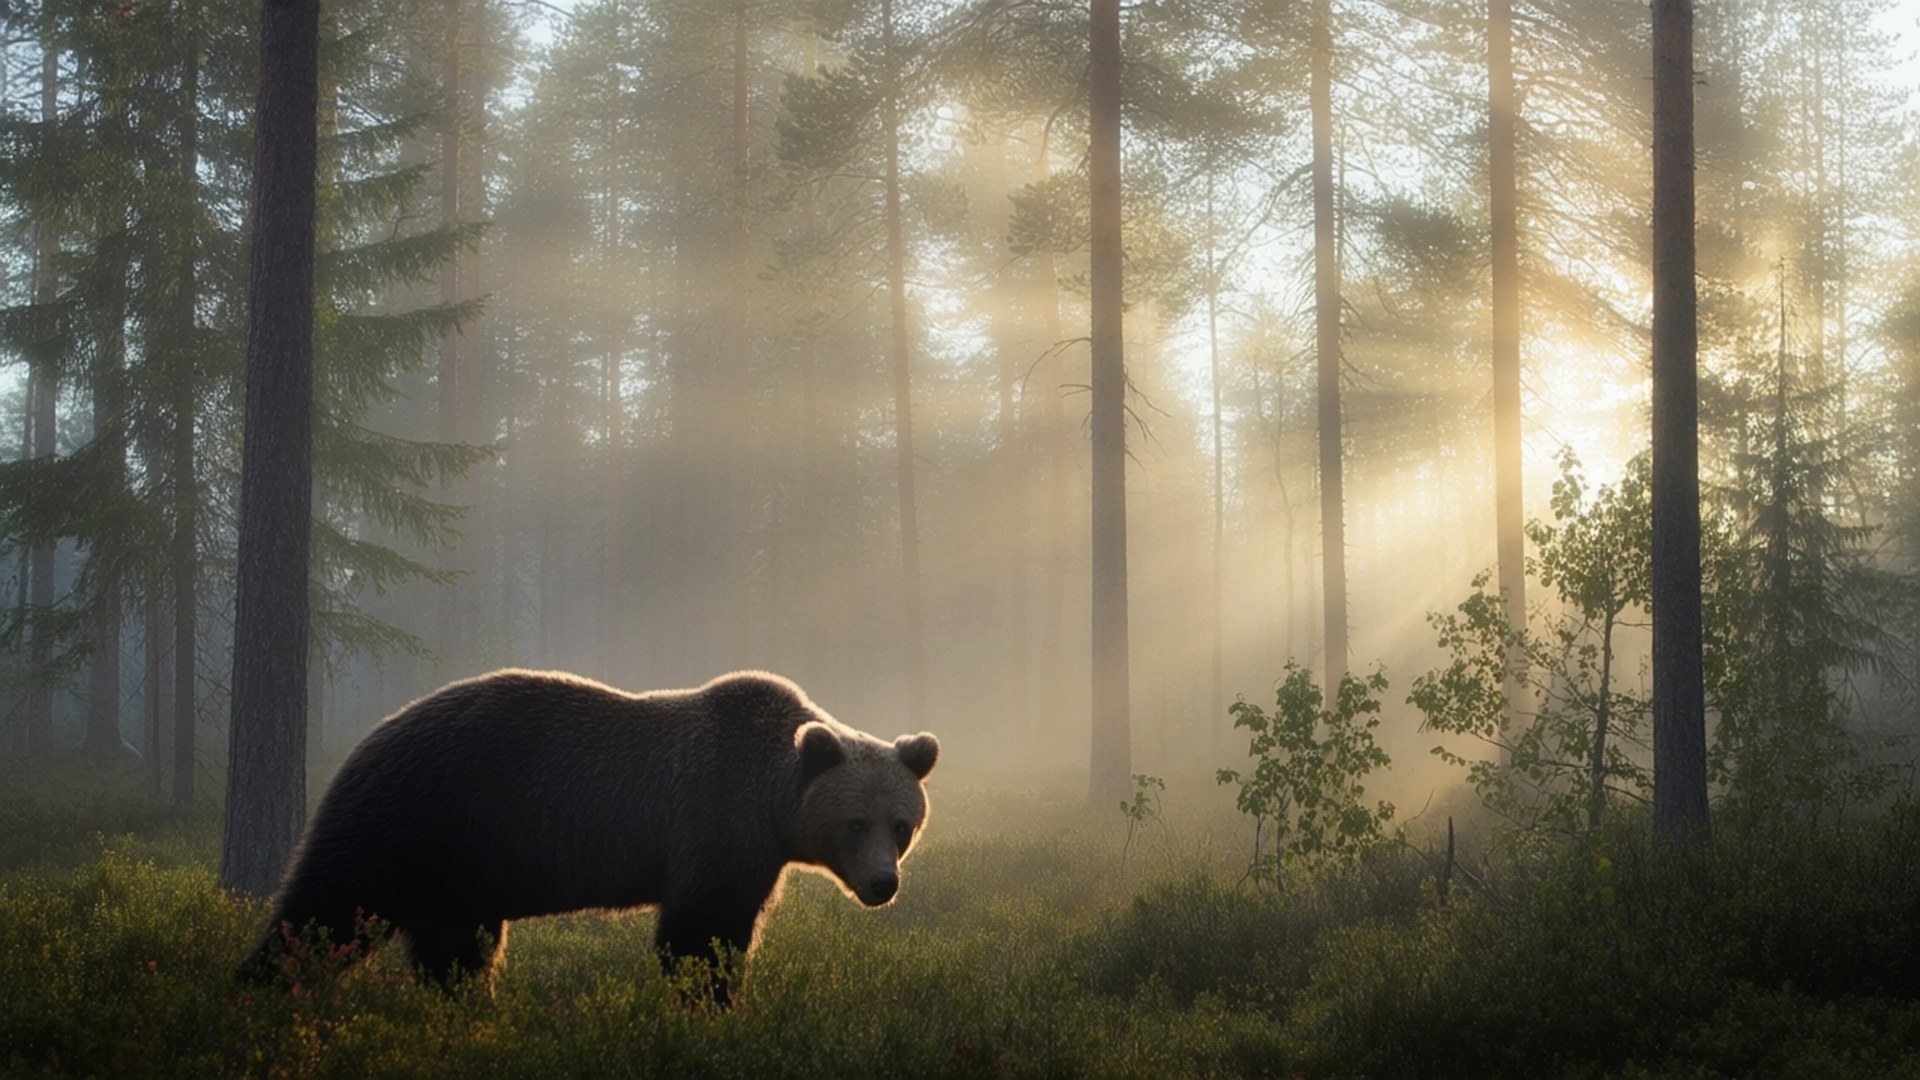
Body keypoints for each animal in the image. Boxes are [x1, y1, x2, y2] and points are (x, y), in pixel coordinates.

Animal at [242, 669, 938, 1004]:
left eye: (901, 825)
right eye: (855, 822)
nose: (883, 883)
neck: (772, 802)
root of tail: (369, 736)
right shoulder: (715, 820)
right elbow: (700, 931)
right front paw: (710, 1002)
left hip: (460, 871)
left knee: (456, 950)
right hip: (414, 818)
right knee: (326, 909)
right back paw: (259, 990)